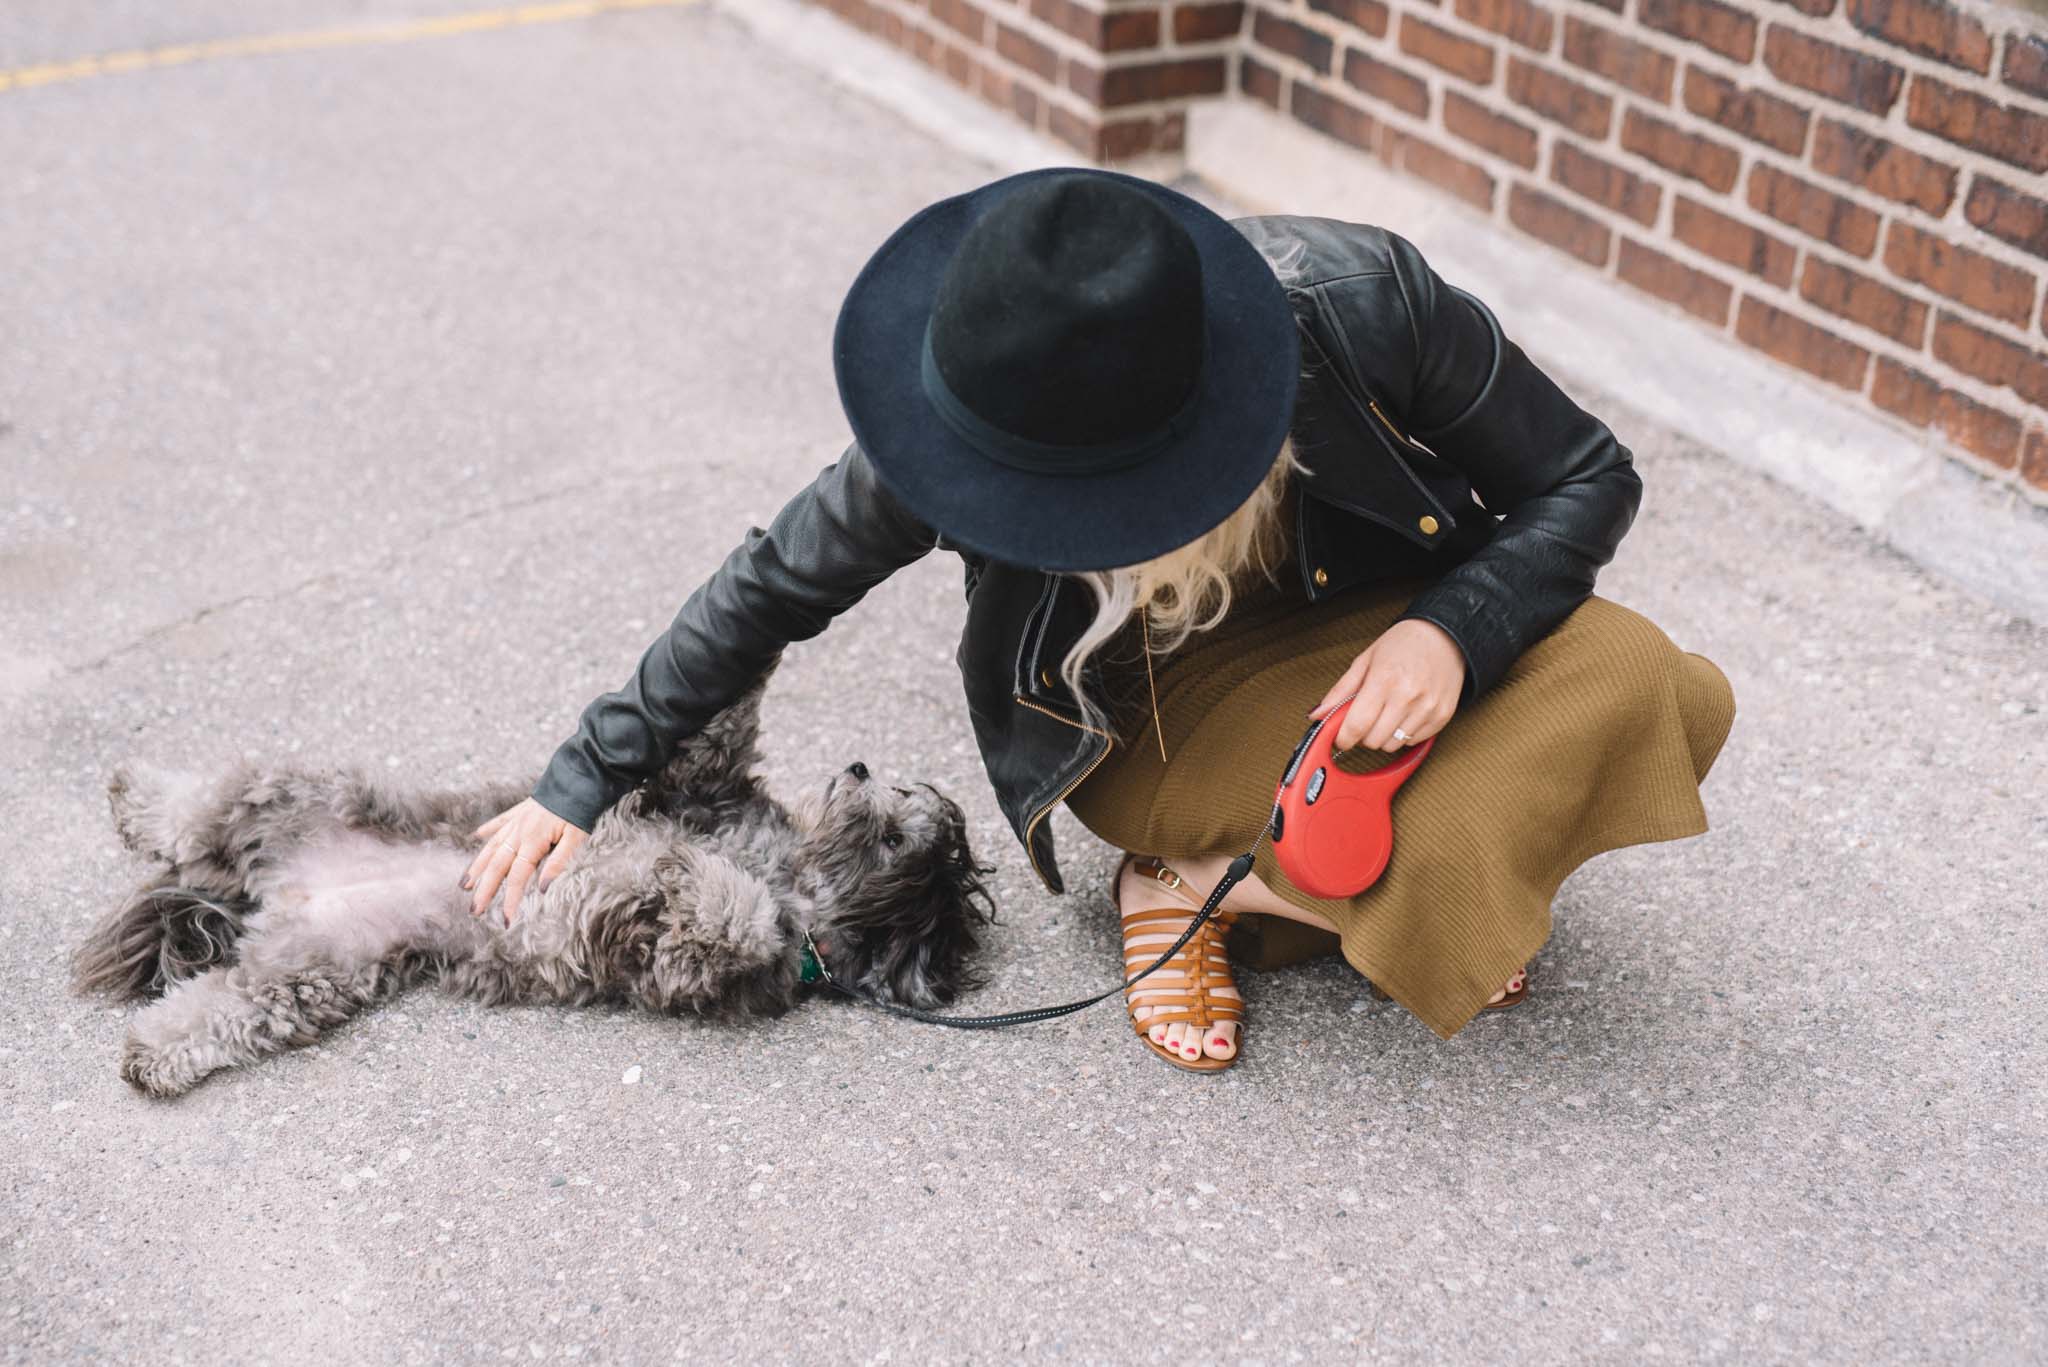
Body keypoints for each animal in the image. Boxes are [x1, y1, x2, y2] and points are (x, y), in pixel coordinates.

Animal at [77, 655, 999, 1098]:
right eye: (899, 802)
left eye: (894, 831)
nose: (859, 766)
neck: (789, 865)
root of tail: (279, 894)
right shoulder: (697, 787)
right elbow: (713, 734)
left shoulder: (686, 960)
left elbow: (724, 914)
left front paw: (701, 881)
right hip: (304, 792)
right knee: (193, 813)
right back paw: (134, 795)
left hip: (307, 975)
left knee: (218, 1008)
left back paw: (153, 1055)